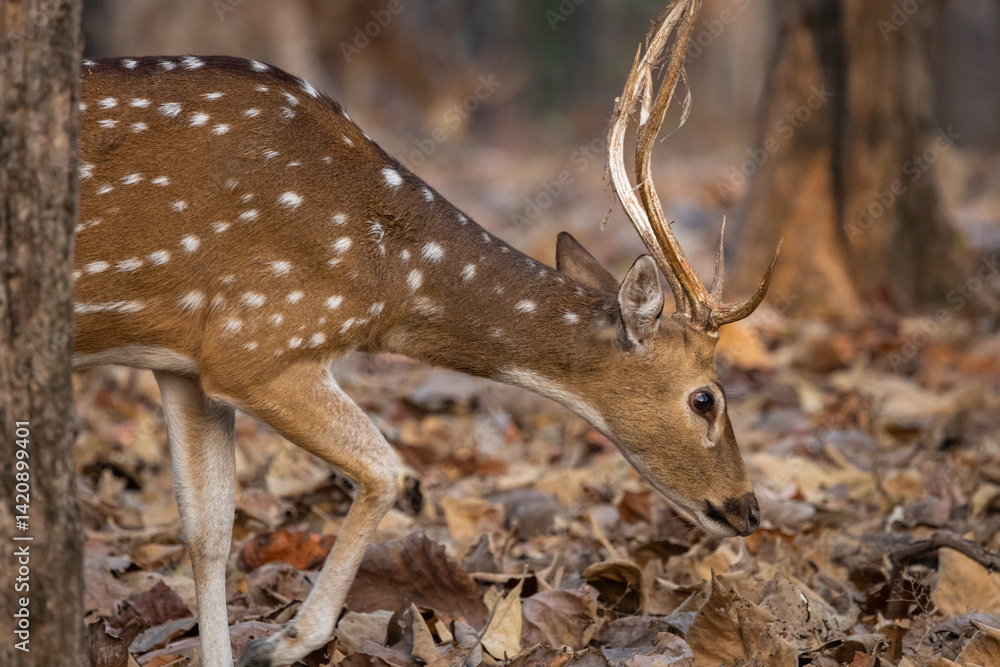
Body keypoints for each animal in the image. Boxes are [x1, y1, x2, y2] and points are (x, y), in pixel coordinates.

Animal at [74, 1, 778, 665]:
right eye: (706, 399)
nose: (748, 509)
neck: (388, 276)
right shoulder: (258, 339)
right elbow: (389, 471)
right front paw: (279, 643)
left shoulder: (185, 364)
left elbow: (209, 531)